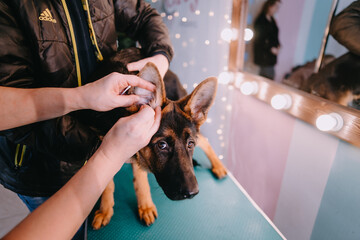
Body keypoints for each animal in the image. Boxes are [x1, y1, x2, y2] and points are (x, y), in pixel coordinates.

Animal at [80, 47, 228, 229]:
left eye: (190, 144)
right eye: (162, 145)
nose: (193, 193)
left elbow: (140, 177)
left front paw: (145, 206)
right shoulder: (104, 143)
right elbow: (107, 181)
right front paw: (105, 209)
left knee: (205, 141)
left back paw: (218, 166)